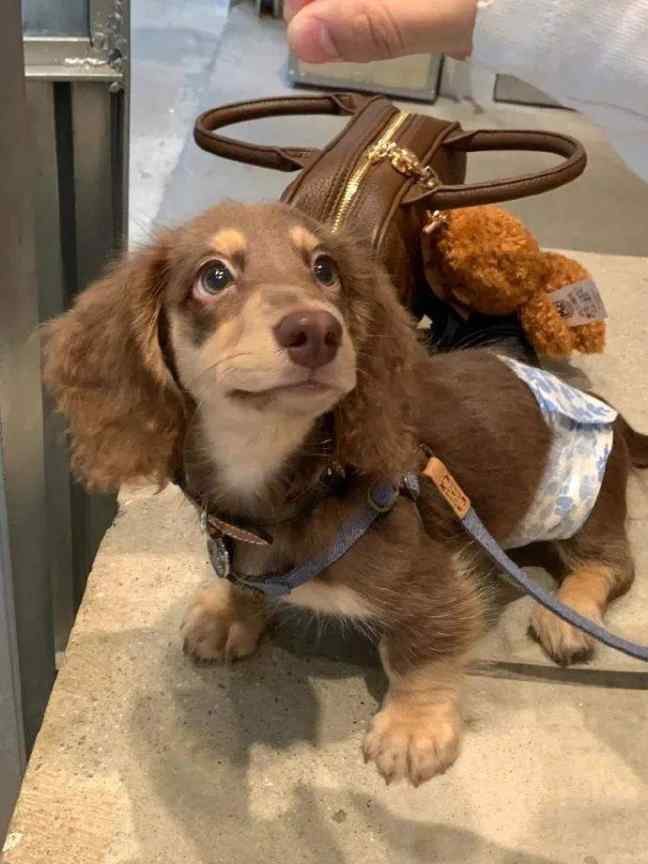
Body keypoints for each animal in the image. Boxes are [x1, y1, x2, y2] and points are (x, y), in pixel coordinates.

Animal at [43, 201, 648, 787]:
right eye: (213, 276)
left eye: (324, 270)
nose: (317, 331)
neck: (297, 483)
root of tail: (607, 409)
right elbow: (242, 585)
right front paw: (231, 610)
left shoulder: (438, 582)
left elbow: (418, 653)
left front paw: (413, 728)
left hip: (586, 503)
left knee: (610, 566)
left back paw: (568, 614)